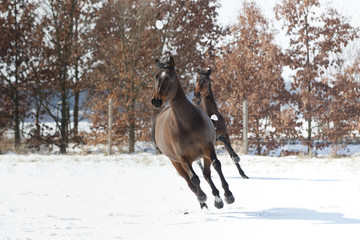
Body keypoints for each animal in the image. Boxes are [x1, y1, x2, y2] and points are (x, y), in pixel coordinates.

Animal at [150, 55, 235, 208]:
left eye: (170, 78)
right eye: (156, 77)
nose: (156, 101)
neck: (187, 124)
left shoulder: (208, 147)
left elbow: (216, 165)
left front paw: (227, 195)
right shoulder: (182, 158)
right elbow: (194, 179)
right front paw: (202, 197)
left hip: (202, 155)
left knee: (206, 174)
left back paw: (217, 198)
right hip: (175, 162)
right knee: (189, 182)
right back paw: (203, 204)